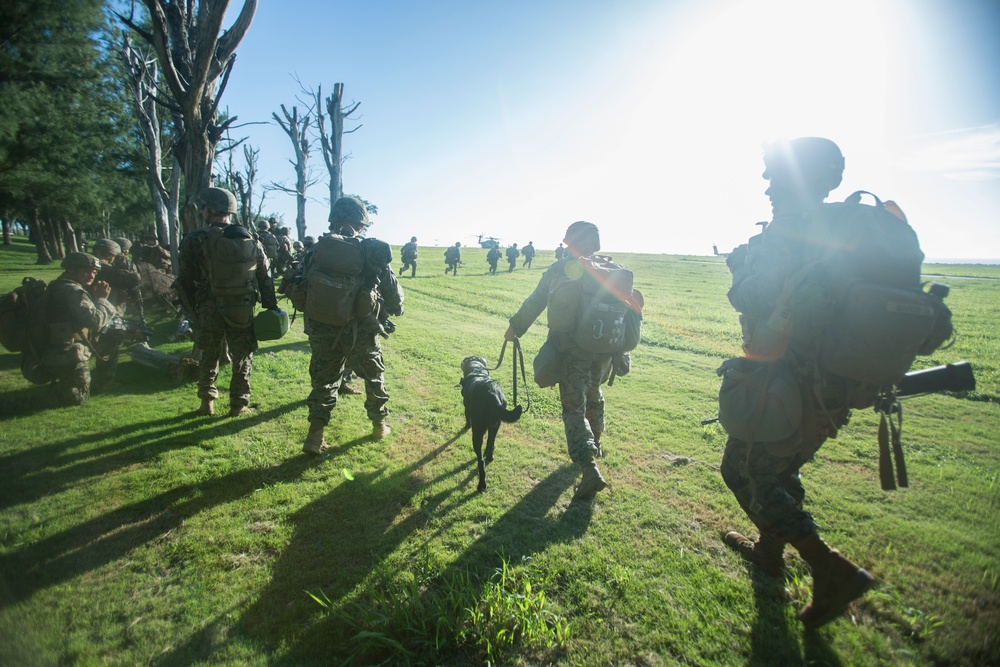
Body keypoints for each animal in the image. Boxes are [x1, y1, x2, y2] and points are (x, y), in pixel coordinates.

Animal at [460, 358, 524, 494]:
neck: (477, 370)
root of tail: (492, 394)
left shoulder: (467, 407)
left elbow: (467, 418)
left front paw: (466, 426)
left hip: (478, 432)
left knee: (481, 462)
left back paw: (481, 485)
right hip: (495, 426)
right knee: (491, 443)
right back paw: (489, 456)